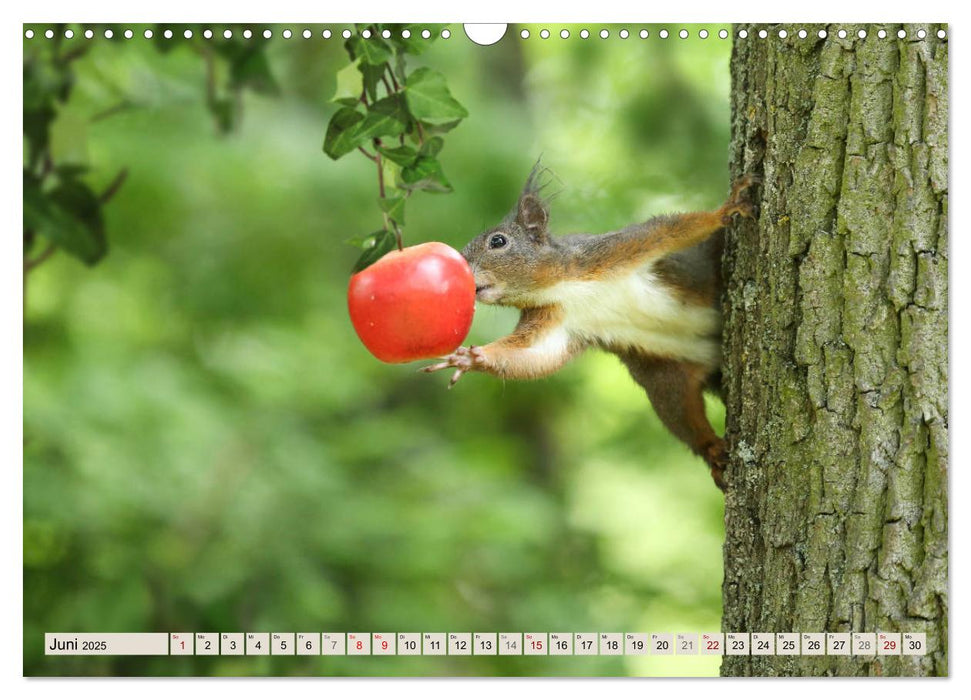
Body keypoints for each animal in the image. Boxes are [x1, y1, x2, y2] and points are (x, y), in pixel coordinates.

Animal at [424, 164, 760, 492]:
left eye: (498, 241)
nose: (463, 272)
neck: (562, 287)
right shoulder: (553, 319)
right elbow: (533, 354)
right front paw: (473, 358)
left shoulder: (608, 251)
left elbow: (668, 230)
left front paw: (727, 207)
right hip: (666, 379)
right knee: (684, 419)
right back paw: (712, 450)